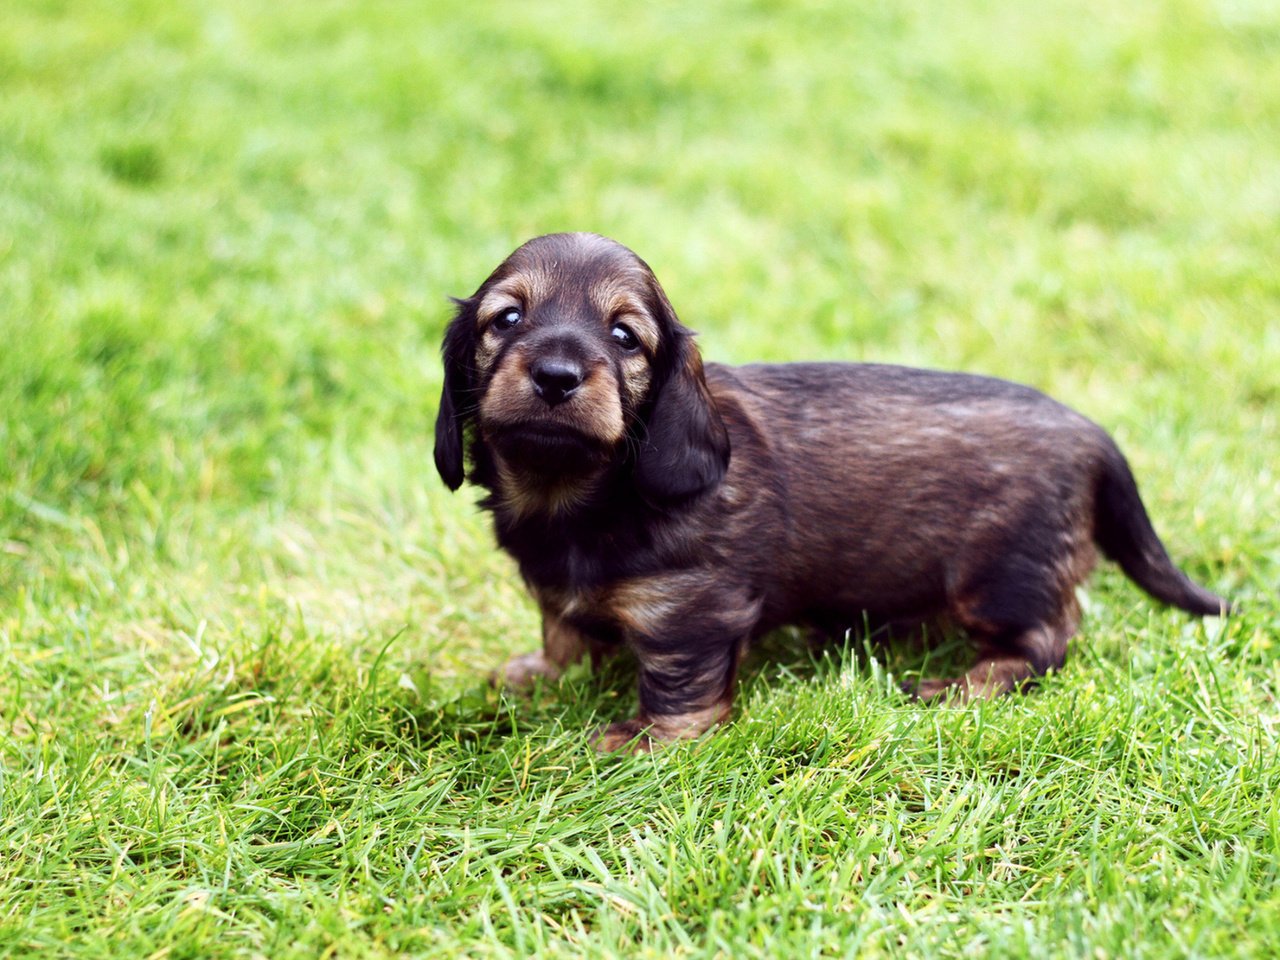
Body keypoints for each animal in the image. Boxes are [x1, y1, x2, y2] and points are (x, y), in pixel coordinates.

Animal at [432, 231, 1228, 752]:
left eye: (626, 337)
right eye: (507, 319)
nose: (557, 375)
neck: (581, 495)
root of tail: (1092, 433)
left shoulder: (689, 609)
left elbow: (678, 683)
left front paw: (649, 737)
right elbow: (561, 628)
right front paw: (542, 675)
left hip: (1002, 578)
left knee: (1047, 642)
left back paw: (962, 685)